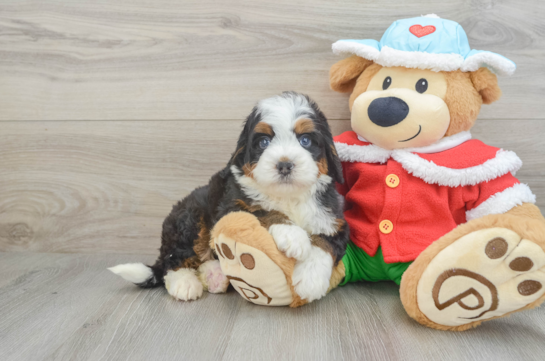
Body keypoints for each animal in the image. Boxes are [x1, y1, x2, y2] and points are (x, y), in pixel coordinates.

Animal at [109, 91, 348, 302]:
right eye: (263, 142)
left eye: (305, 140)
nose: (284, 164)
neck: (288, 197)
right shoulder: (230, 206)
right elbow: (262, 211)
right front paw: (293, 235)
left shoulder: (335, 219)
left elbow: (324, 243)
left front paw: (310, 280)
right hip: (190, 217)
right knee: (174, 260)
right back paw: (185, 283)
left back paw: (215, 275)